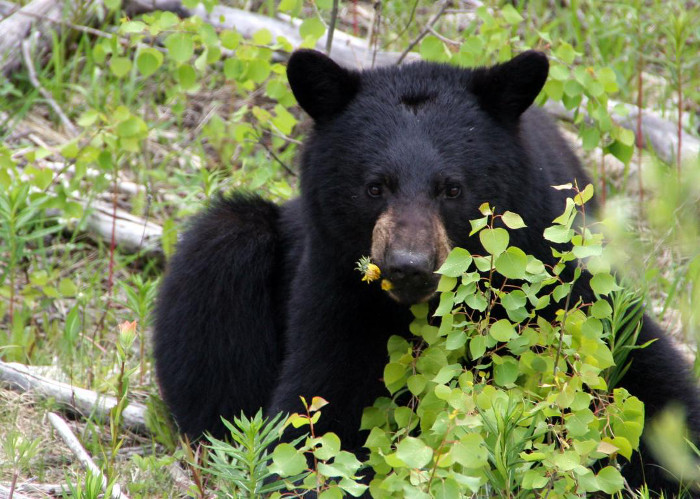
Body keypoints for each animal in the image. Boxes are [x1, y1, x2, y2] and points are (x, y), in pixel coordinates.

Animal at [154, 48, 700, 494]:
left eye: (452, 188)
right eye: (374, 186)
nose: (408, 266)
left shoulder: (562, 274)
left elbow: (648, 384)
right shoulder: (336, 288)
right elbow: (317, 411)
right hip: (234, 245)